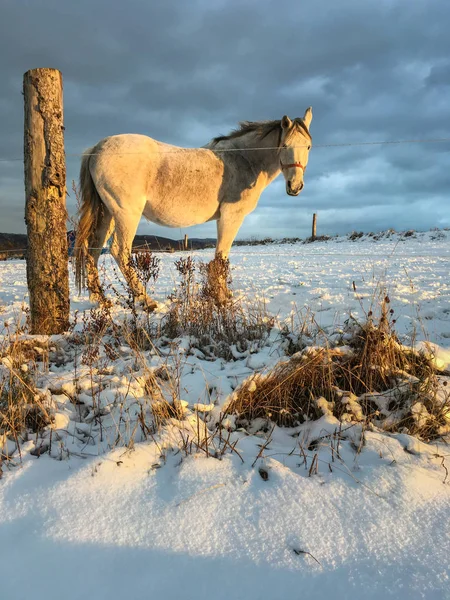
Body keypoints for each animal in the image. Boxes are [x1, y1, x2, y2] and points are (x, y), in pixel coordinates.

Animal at [74, 106, 312, 310]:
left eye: (308, 146)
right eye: (284, 145)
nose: (295, 186)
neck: (243, 159)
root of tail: (96, 148)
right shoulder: (231, 216)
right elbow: (221, 256)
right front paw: (221, 298)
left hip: (107, 214)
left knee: (93, 250)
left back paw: (101, 300)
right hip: (126, 214)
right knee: (119, 251)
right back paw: (146, 301)